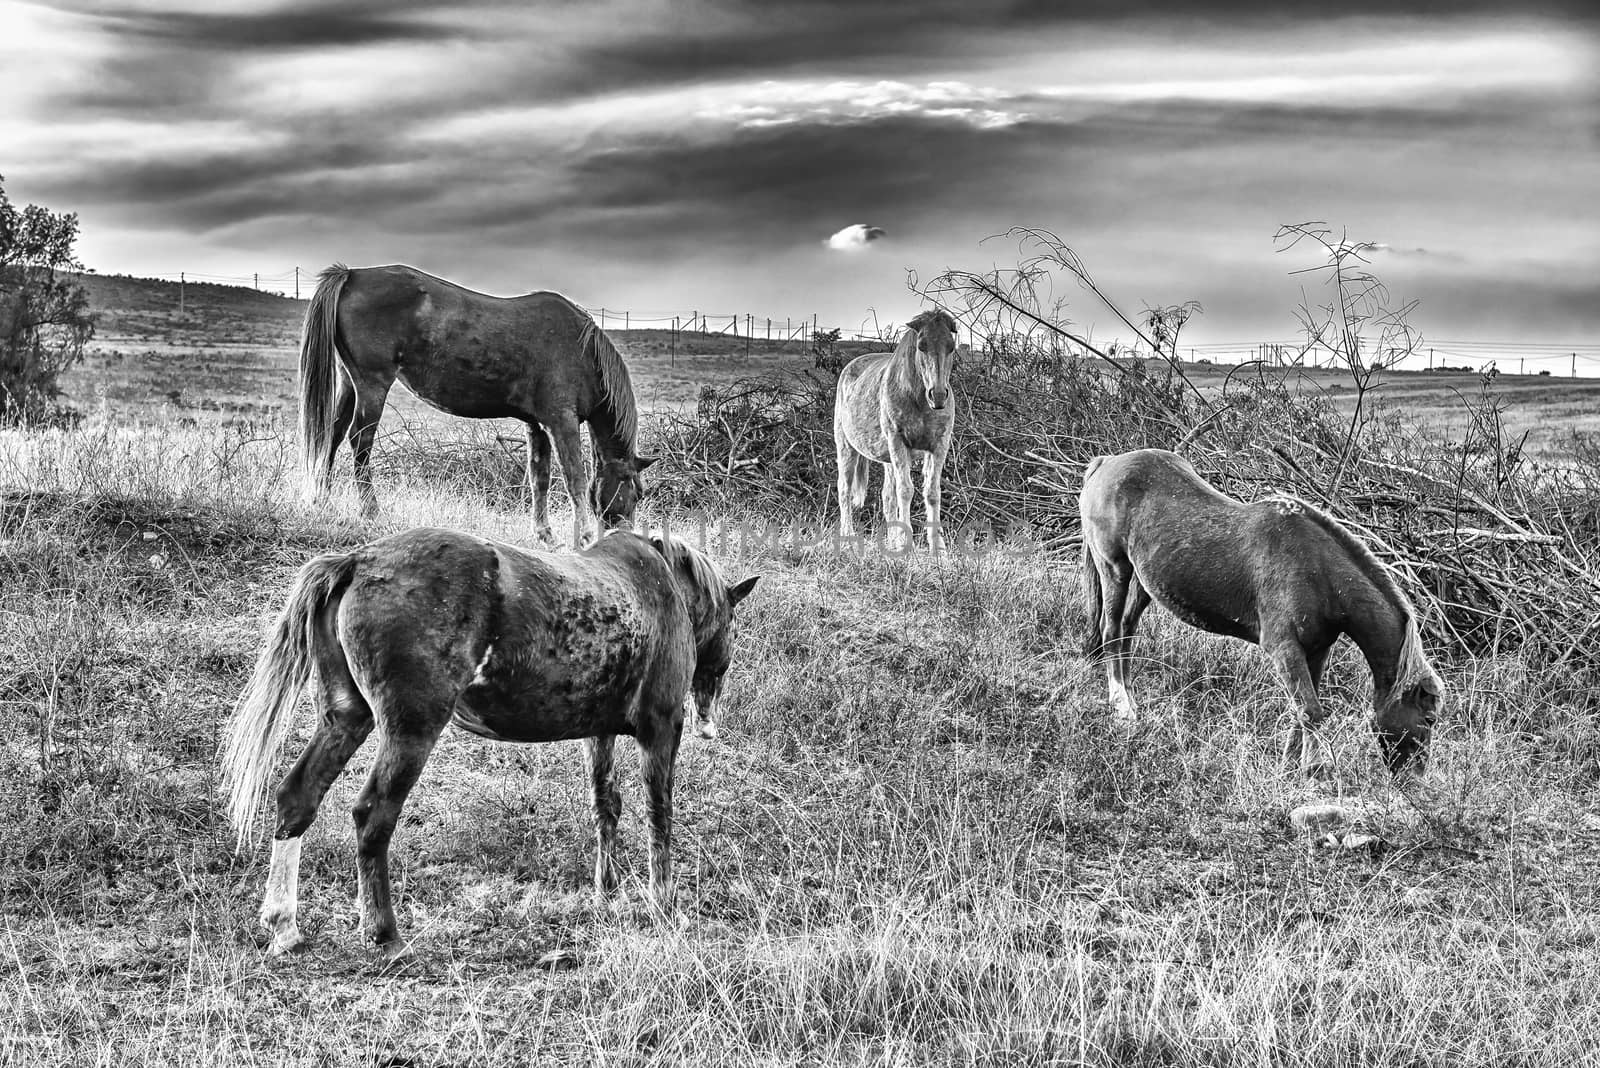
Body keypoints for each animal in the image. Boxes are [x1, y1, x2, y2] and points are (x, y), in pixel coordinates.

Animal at [220, 524, 761, 952]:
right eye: (732, 623)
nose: (709, 718)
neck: (654, 586)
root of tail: (358, 561)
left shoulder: (600, 734)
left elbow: (607, 805)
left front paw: (607, 895)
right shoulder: (661, 728)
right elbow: (658, 814)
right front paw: (665, 905)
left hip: (347, 719)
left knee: (298, 797)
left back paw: (285, 926)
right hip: (410, 731)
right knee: (372, 816)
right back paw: (384, 934)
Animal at [297, 263, 652, 546]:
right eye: (637, 493)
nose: (626, 536)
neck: (582, 351)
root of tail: (352, 274)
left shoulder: (537, 425)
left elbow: (539, 477)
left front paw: (545, 534)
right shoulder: (560, 421)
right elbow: (574, 478)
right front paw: (585, 536)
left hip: (349, 384)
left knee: (332, 437)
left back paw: (322, 501)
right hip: (372, 385)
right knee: (360, 441)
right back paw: (370, 510)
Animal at [832, 303, 953, 546]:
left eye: (952, 347)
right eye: (921, 346)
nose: (938, 395)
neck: (919, 401)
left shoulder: (939, 445)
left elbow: (932, 493)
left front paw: (938, 550)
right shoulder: (898, 442)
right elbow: (905, 491)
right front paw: (907, 546)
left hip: (888, 458)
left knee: (888, 498)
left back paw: (891, 542)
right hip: (847, 447)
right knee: (844, 490)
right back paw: (848, 537)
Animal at [1081, 447, 1446, 777]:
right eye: (1429, 719)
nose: (1415, 779)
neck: (1319, 573)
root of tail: (1107, 462)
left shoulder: (1315, 651)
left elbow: (1303, 710)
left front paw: (1291, 767)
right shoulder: (1284, 649)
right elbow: (1311, 711)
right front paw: (1314, 771)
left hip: (1145, 583)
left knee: (1126, 632)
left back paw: (1131, 700)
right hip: (1114, 569)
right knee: (1112, 631)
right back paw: (1123, 709)